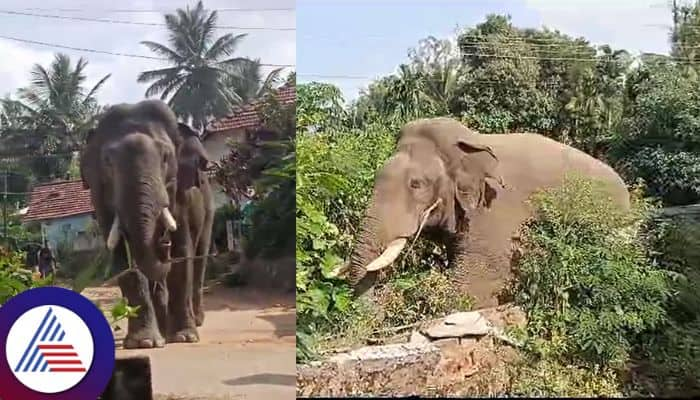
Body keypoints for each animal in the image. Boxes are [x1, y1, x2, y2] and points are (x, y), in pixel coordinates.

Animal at [80, 99, 215, 346]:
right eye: (107, 162)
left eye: (165, 157)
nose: (163, 242)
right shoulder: (99, 198)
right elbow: (124, 259)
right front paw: (143, 343)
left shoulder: (181, 195)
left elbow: (182, 254)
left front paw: (183, 338)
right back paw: (162, 329)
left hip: (209, 208)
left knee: (199, 256)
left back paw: (195, 322)